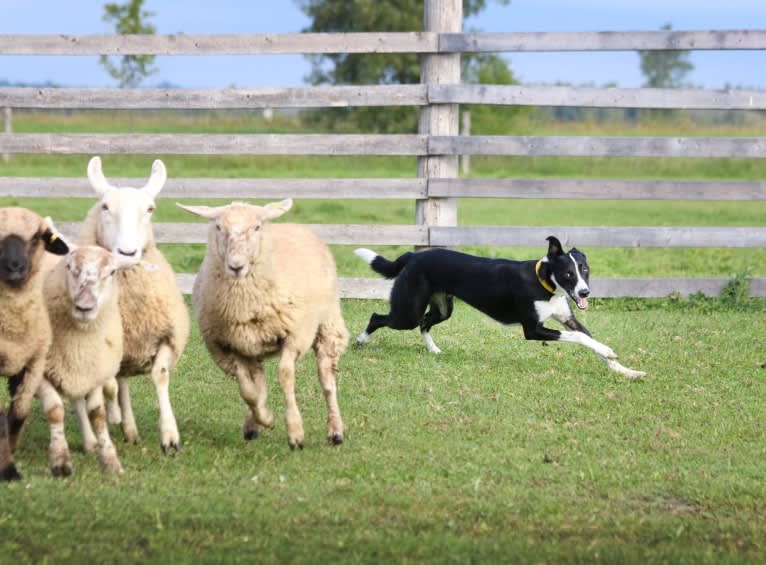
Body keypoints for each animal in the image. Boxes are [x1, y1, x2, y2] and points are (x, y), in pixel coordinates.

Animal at [0, 207, 69, 480]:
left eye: (37, 237)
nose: (14, 267)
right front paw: (7, 469)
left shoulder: (34, 361)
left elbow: (20, 411)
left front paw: (12, 446)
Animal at [40, 245, 141, 474]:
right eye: (69, 266)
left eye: (112, 272)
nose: (84, 307)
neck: (80, 343)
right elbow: (55, 410)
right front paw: (60, 460)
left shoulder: (94, 369)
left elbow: (97, 414)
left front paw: (110, 460)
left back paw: (90, 442)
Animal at [77, 155, 190, 454]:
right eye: (105, 207)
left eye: (150, 209)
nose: (127, 252)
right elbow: (107, 388)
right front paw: (112, 417)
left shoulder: (166, 336)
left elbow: (160, 375)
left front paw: (170, 436)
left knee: (122, 382)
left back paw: (127, 428)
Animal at [177, 198, 348, 450]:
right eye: (218, 227)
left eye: (257, 227)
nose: (236, 266)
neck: (243, 301)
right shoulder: (230, 346)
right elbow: (247, 390)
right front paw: (266, 418)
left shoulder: (295, 336)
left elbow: (285, 375)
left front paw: (295, 433)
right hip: (252, 343)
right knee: (258, 378)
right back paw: (253, 424)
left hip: (327, 326)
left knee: (327, 381)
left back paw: (335, 431)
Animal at [356, 236, 644, 376]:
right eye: (568, 274)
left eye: (584, 269)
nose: (585, 292)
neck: (544, 283)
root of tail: (413, 256)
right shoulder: (533, 329)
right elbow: (580, 338)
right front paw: (612, 356)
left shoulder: (568, 319)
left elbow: (590, 339)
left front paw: (623, 369)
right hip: (407, 312)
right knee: (377, 317)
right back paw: (360, 341)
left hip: (443, 308)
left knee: (425, 324)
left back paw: (434, 350)